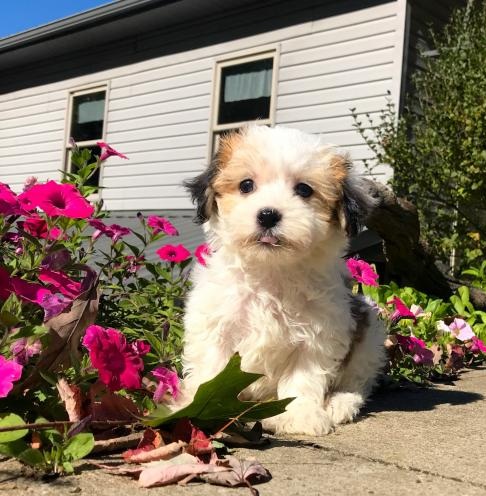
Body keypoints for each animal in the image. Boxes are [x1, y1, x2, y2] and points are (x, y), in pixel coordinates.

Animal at [180, 124, 386, 434]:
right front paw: (196, 407)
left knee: (359, 381)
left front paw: (300, 416)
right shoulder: (217, 324)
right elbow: (211, 368)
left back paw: (340, 402)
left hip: (369, 332)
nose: (268, 215)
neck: (271, 271)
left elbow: (304, 377)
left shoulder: (318, 335)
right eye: (246, 185)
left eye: (304, 190)